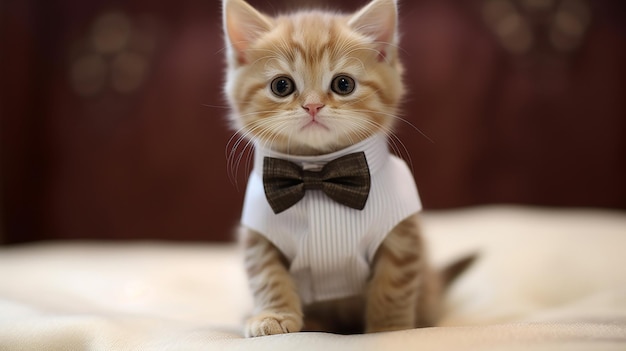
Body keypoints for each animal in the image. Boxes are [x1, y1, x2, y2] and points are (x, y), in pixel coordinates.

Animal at [222, 0, 470, 336]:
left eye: (343, 84)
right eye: (281, 85)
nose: (313, 106)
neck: (316, 175)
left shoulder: (400, 235)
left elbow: (393, 285)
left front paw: (390, 329)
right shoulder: (261, 232)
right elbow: (266, 274)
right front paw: (273, 314)